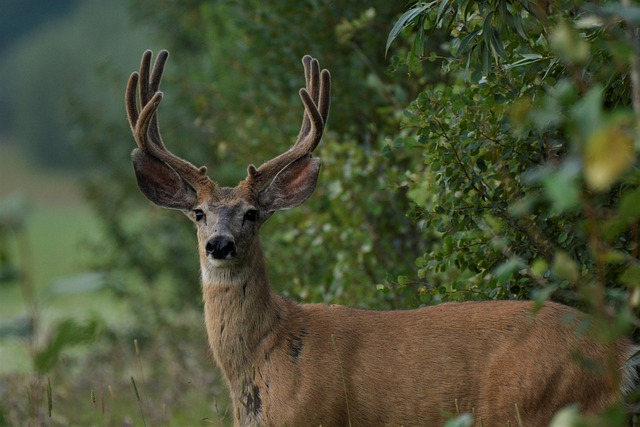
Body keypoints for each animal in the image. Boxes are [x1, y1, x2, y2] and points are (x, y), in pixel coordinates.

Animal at [127, 51, 636, 427]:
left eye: (252, 214)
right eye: (198, 214)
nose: (220, 244)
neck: (264, 357)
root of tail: (621, 349)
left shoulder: (316, 417)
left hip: (537, 404)